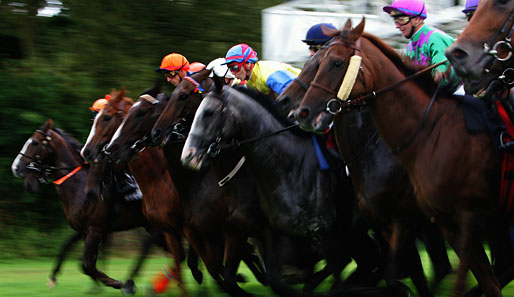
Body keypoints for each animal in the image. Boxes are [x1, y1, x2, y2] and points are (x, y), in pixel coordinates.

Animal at [10, 119, 164, 292]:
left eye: (34, 142)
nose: (15, 168)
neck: (79, 186)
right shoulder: (84, 230)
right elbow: (70, 249)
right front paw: (56, 278)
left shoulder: (95, 230)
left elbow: (87, 265)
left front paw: (113, 282)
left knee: (148, 244)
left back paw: (129, 283)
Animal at [294, 19, 510, 296]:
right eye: (316, 61)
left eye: (336, 63)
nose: (302, 112)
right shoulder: (389, 225)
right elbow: (401, 275)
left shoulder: (410, 220)